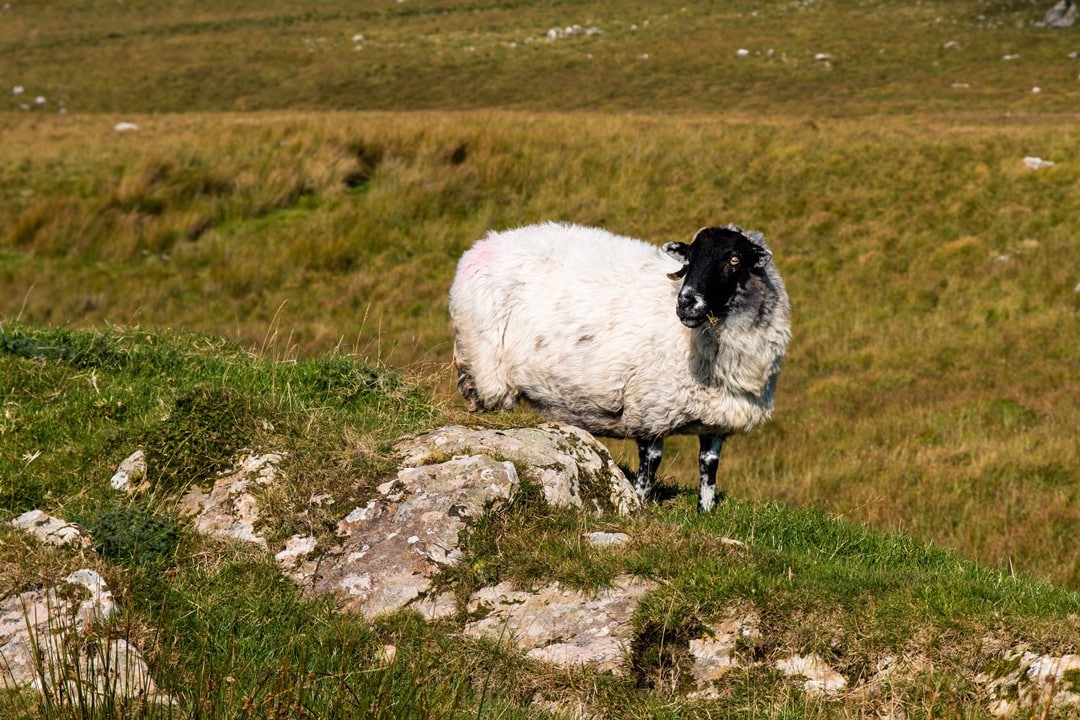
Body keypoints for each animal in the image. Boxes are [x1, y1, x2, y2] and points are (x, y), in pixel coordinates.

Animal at [448, 222, 791, 512]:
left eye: (734, 259)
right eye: (690, 258)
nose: (686, 302)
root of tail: (484, 244)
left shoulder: (717, 416)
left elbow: (709, 465)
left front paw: (705, 512)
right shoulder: (651, 406)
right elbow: (651, 461)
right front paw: (638, 505)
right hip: (484, 363)